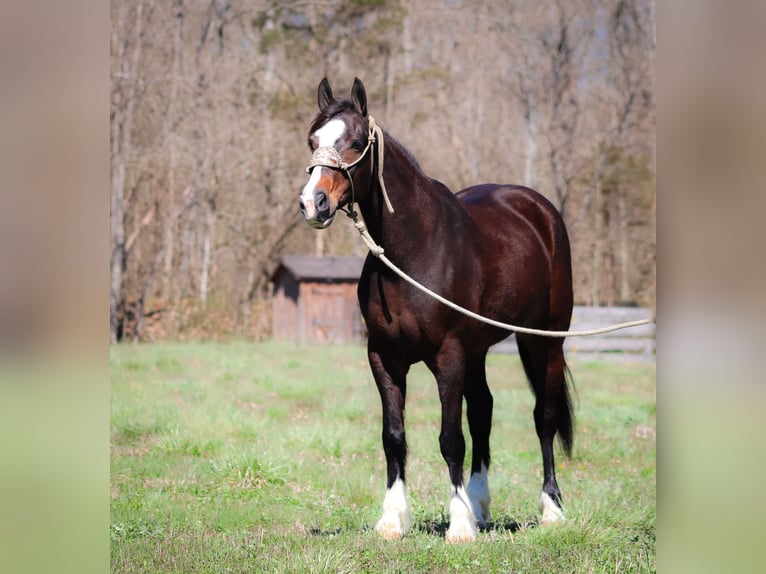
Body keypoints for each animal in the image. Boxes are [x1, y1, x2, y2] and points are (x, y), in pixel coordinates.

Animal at [296, 79, 572, 548]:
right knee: (483, 411)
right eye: (313, 141)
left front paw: (458, 526)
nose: (313, 203)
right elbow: (394, 437)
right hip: (479, 351)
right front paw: (393, 520)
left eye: (356, 142)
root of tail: (540, 209)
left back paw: (550, 508)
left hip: (544, 339)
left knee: (544, 417)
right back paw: (480, 505)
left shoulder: (449, 356)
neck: (416, 250)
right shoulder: (384, 358)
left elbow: (450, 439)